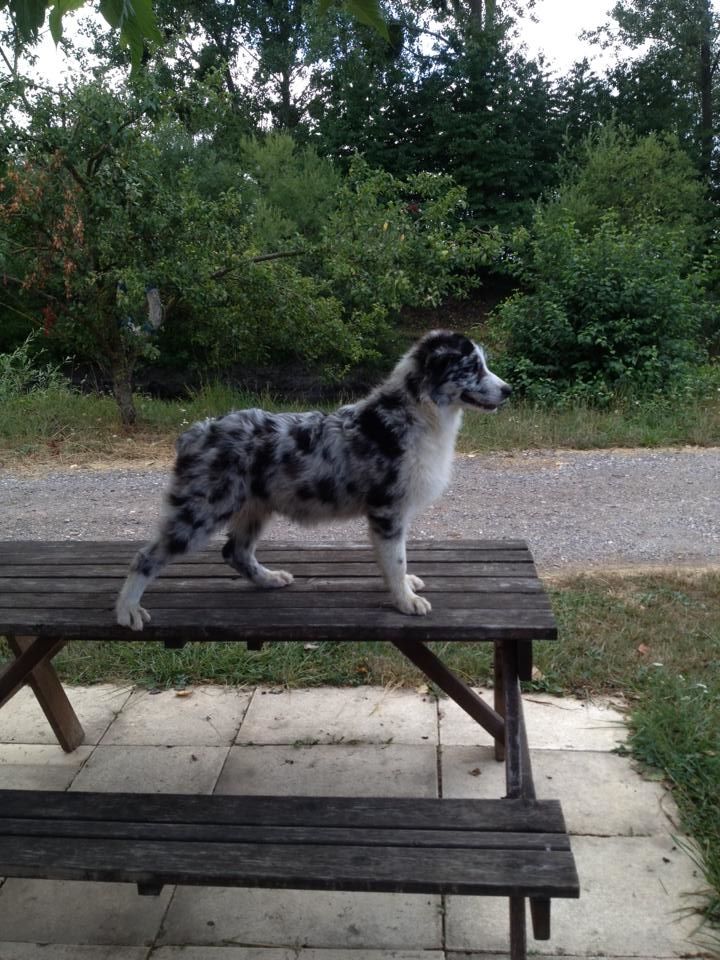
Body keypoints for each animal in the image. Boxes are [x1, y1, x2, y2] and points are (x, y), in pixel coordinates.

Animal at [115, 330, 512, 632]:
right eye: (473, 368)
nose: (508, 390)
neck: (415, 412)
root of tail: (196, 432)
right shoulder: (387, 509)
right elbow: (395, 559)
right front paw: (405, 601)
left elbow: (394, 561)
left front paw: (404, 587)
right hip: (204, 508)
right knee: (146, 556)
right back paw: (127, 609)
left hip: (255, 506)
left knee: (235, 551)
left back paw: (269, 579)